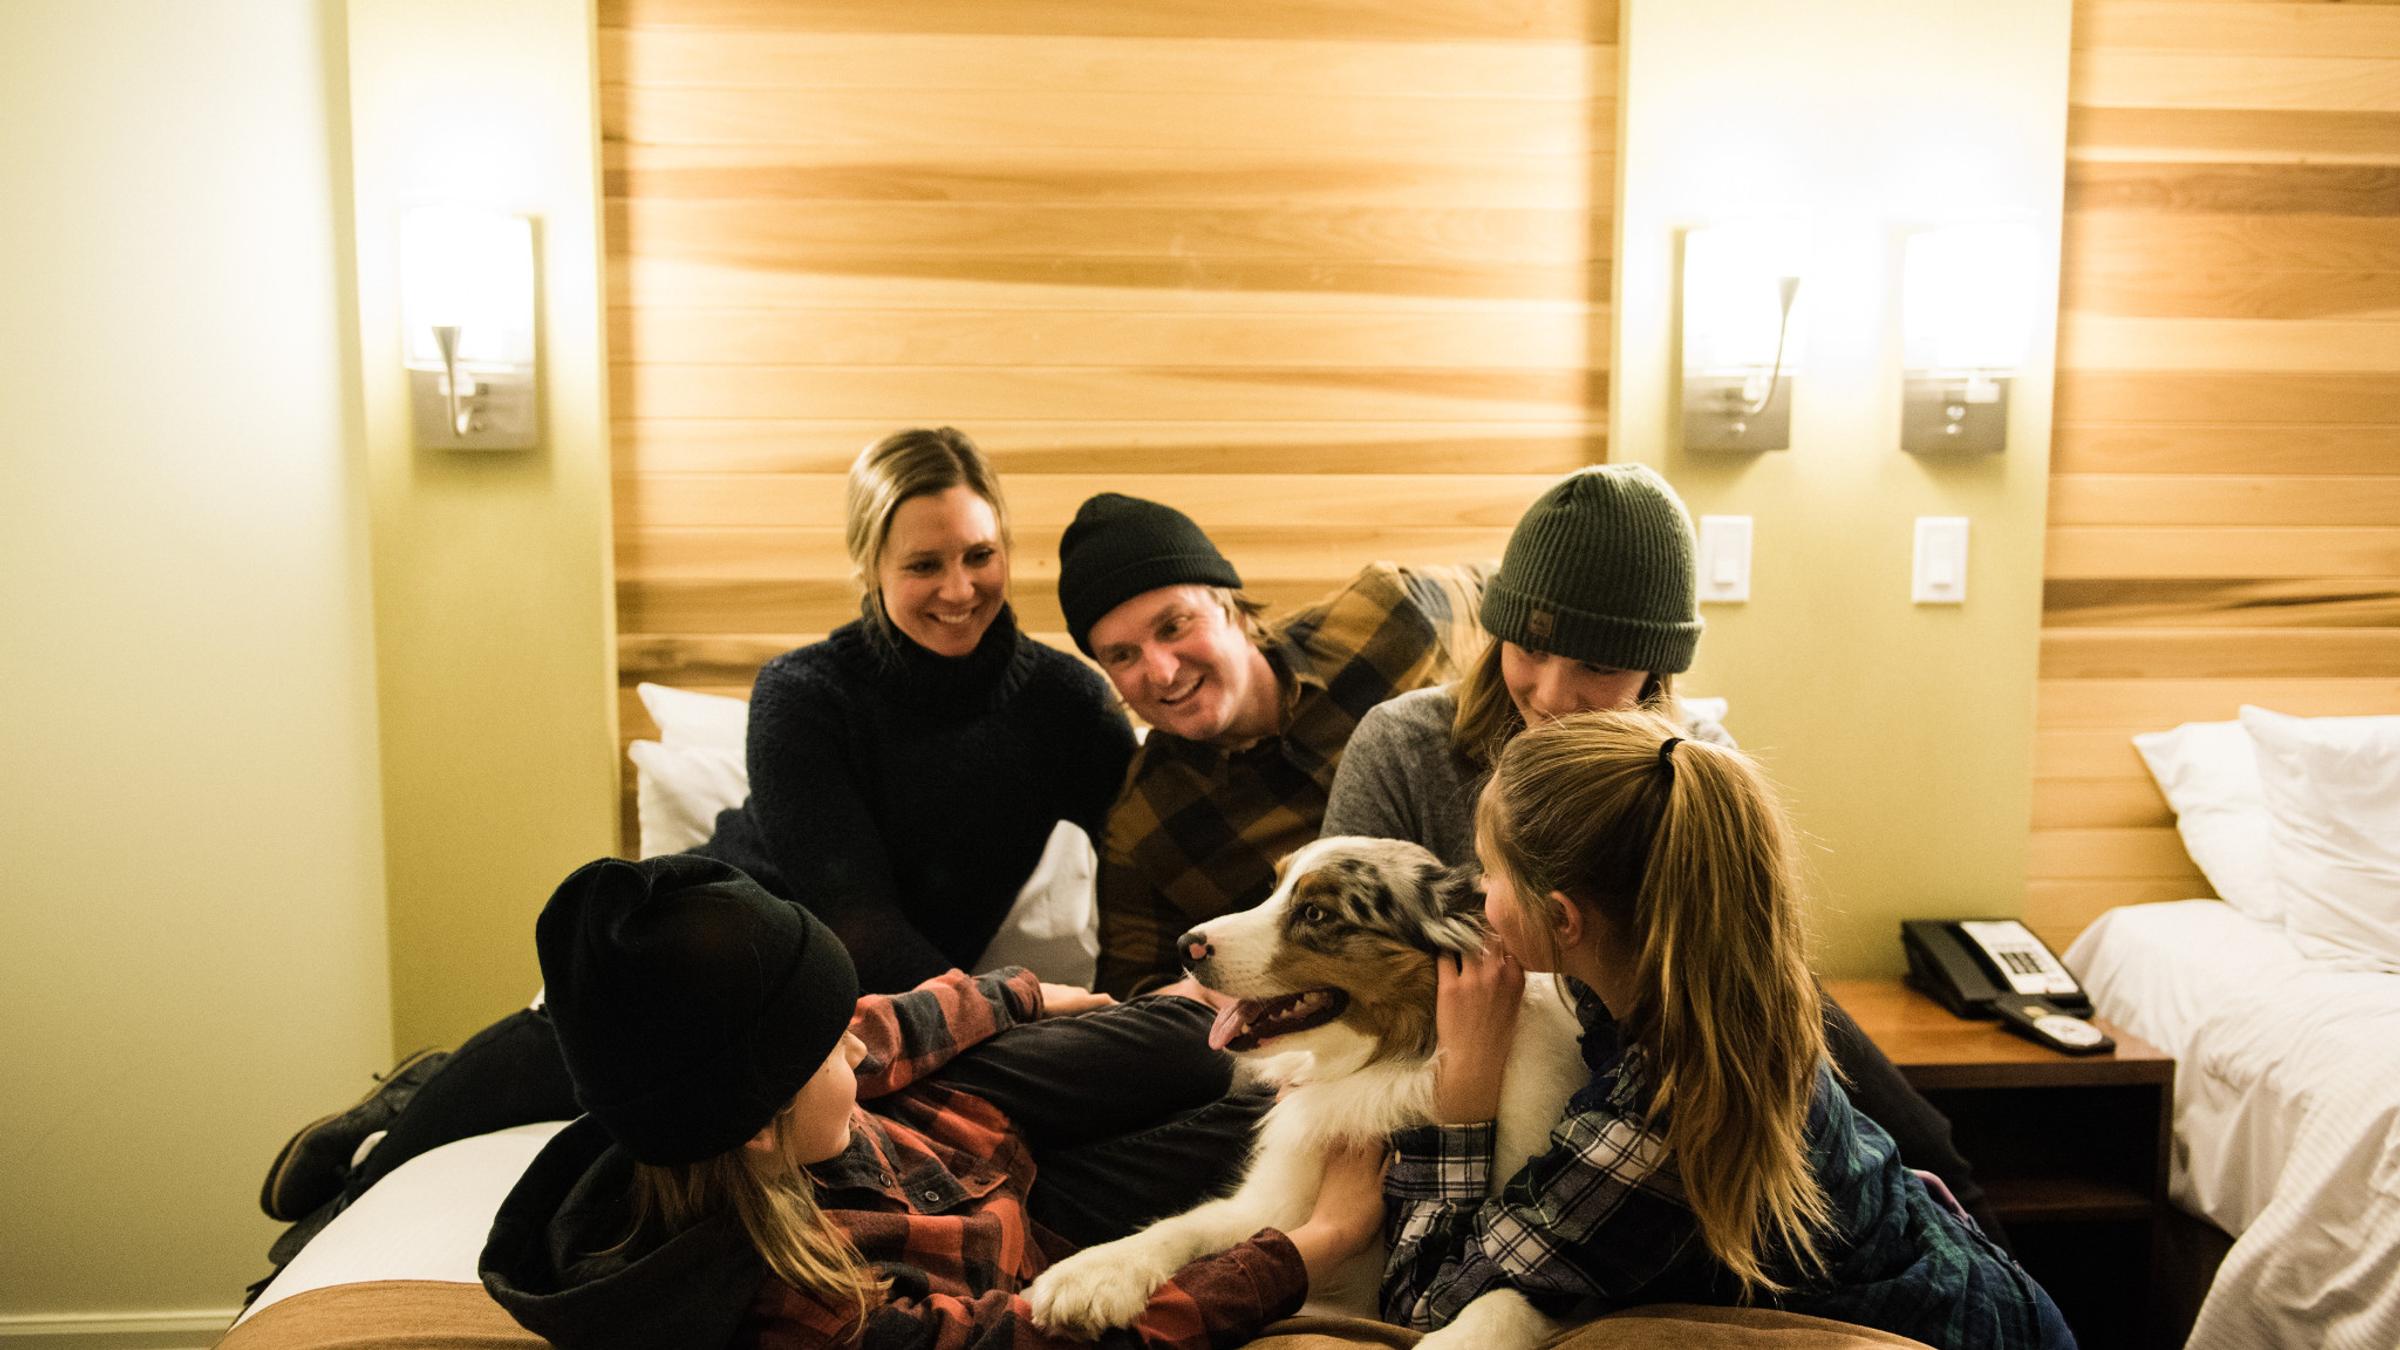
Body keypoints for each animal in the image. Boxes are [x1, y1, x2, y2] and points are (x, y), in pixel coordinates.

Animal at [1022, 835, 1584, 1335]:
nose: (1185, 946)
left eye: (1315, 914)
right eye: (1272, 890)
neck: (1388, 1073)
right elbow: (1184, 1225)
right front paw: (1092, 1273)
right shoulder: (1270, 1206)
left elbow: (1499, 1296)